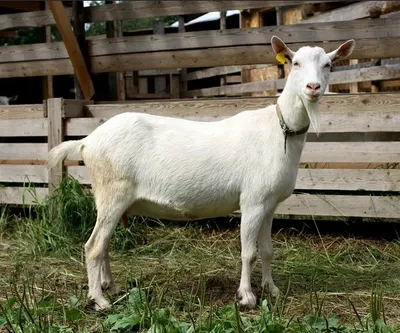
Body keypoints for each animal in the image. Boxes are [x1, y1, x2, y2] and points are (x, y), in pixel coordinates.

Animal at [45, 37, 354, 312]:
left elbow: (267, 250)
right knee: (94, 246)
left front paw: (273, 290)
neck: (279, 129)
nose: (312, 87)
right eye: (295, 62)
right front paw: (246, 297)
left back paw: (111, 286)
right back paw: (99, 300)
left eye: (328, 64)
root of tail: (87, 141)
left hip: (112, 198)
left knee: (104, 243)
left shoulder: (270, 203)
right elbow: (249, 252)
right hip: (112, 191)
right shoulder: (252, 201)